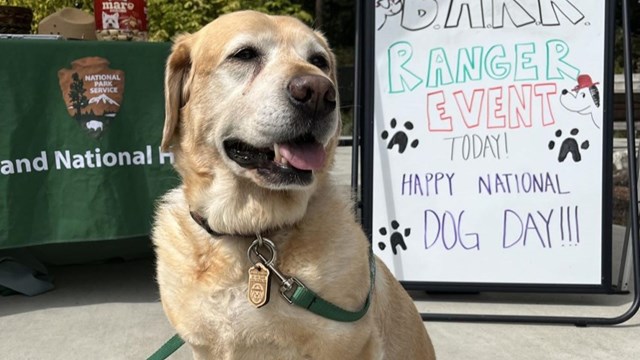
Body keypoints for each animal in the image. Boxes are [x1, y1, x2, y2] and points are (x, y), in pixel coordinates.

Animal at [152, 9, 438, 358]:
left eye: (319, 61)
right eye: (244, 54)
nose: (318, 92)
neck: (252, 231)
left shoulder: (350, 344)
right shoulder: (203, 347)